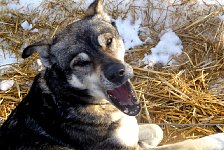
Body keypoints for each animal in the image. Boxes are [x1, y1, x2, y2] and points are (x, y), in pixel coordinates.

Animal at [0, 0, 224, 149]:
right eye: (81, 62)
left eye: (108, 41)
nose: (118, 73)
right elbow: (187, 144)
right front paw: (216, 139)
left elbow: (155, 130)